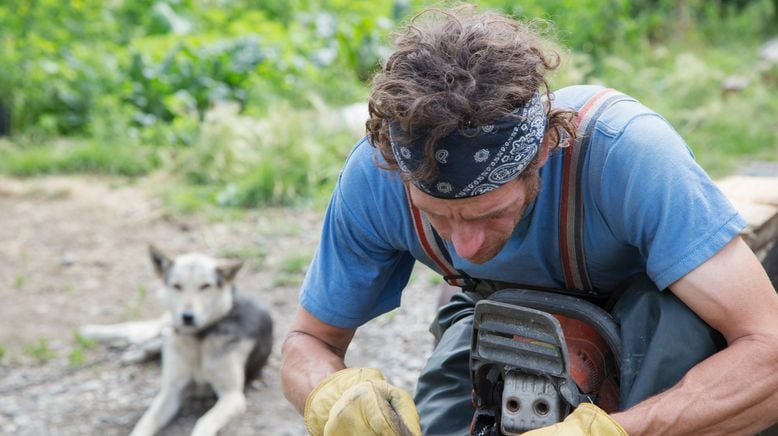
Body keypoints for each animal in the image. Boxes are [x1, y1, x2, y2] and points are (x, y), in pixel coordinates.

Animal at [82, 245, 272, 436]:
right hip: (163, 328)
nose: (187, 317)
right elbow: (146, 422)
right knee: (134, 331)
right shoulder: (171, 390)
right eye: (177, 286)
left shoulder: (232, 395)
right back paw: (90, 333)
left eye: (205, 286)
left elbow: (204, 422)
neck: (199, 339)